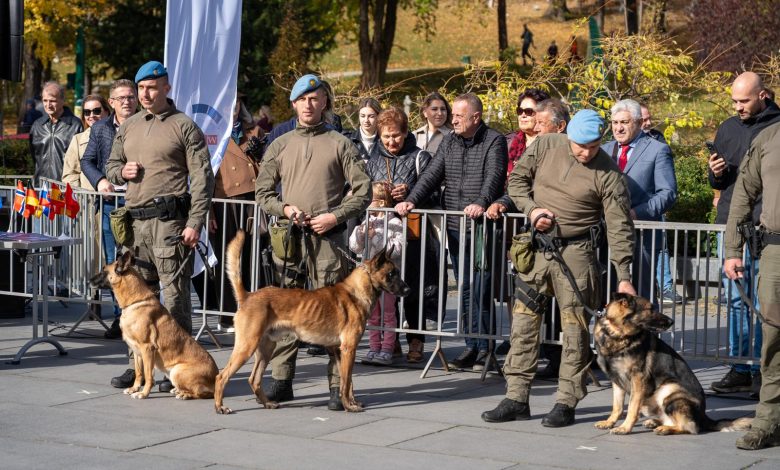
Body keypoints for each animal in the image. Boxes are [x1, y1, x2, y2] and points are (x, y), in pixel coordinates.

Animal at [90, 251, 219, 400]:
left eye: (103, 270)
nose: (88, 281)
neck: (136, 301)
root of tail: (216, 377)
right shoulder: (137, 351)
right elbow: (139, 373)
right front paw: (134, 388)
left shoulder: (147, 349)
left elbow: (148, 375)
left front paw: (143, 393)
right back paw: (178, 390)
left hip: (177, 371)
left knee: (203, 393)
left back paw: (184, 394)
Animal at [214, 230, 411, 414]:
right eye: (391, 273)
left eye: (398, 272)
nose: (408, 290)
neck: (356, 292)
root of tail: (248, 296)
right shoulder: (348, 349)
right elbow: (347, 383)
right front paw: (349, 406)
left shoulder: (340, 352)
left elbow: (347, 381)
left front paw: (351, 402)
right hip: (246, 347)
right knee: (222, 376)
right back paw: (220, 406)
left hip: (265, 350)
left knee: (253, 380)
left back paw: (267, 403)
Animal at [593, 293, 752, 435]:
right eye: (650, 309)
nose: (672, 321)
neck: (616, 334)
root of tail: (704, 417)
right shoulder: (616, 381)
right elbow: (617, 406)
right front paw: (610, 422)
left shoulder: (638, 380)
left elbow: (632, 407)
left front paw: (625, 428)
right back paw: (655, 422)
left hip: (669, 390)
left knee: (691, 427)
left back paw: (666, 429)